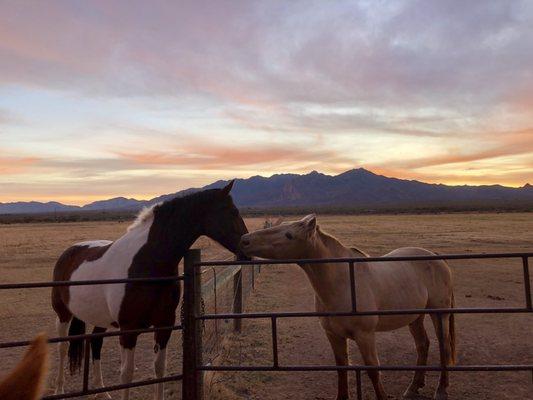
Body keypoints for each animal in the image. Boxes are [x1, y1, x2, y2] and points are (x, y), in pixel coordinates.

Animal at [52, 182, 247, 400]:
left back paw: (101, 390)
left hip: (100, 318)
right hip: (63, 314)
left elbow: (159, 368)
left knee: (95, 343)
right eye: (233, 211)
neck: (147, 262)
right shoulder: (129, 329)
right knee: (62, 347)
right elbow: (127, 374)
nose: (248, 248)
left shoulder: (164, 325)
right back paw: (59, 389)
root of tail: (69, 252)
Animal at [239, 216, 456, 400]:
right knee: (423, 345)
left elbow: (373, 370)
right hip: (415, 317)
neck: (343, 281)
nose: (244, 240)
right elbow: (342, 368)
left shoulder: (365, 335)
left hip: (440, 315)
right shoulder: (333, 334)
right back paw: (413, 388)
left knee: (443, 347)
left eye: (289, 235)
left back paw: (441, 390)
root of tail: (435, 256)